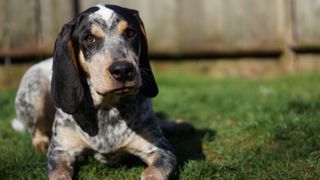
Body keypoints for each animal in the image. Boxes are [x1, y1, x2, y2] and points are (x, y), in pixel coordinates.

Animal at [11, 3, 192, 179]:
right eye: (89, 38)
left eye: (130, 32)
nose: (123, 70)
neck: (107, 107)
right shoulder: (59, 152)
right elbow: (59, 173)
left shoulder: (162, 151)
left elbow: (152, 173)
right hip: (34, 91)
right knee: (36, 131)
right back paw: (41, 143)